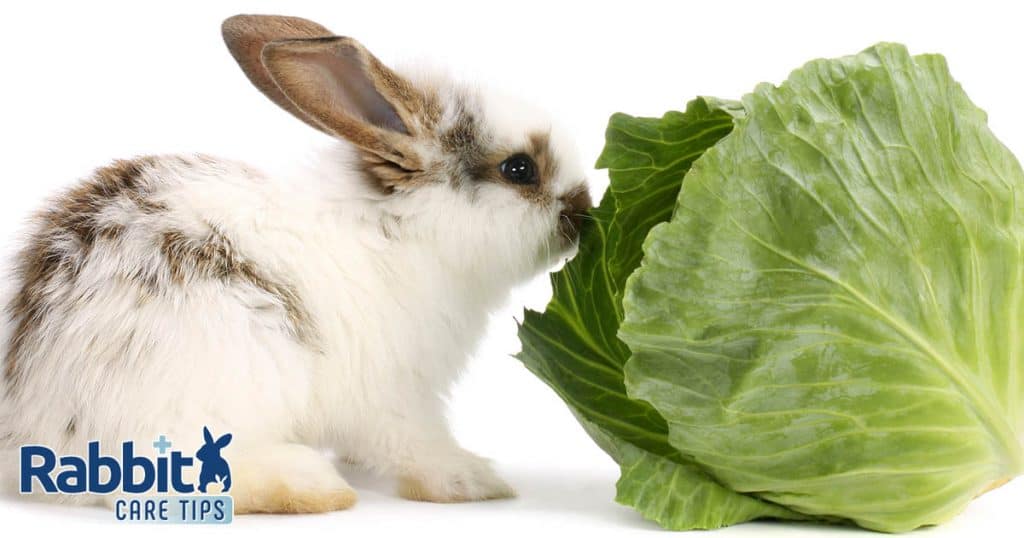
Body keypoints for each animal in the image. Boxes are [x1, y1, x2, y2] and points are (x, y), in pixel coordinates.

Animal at [0, 14, 591, 513]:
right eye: (520, 169)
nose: (584, 210)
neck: (405, 228)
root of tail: (32, 427)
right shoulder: (396, 395)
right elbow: (415, 444)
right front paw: (471, 481)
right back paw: (310, 486)